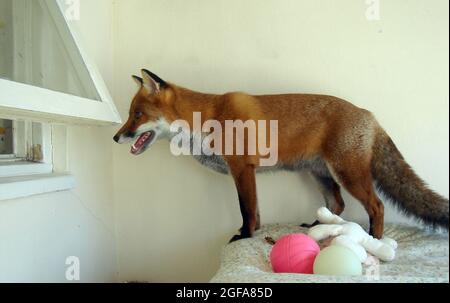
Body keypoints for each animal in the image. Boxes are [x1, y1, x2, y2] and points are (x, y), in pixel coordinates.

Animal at [113, 68, 450, 242]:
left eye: (137, 114)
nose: (116, 137)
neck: (206, 118)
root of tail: (370, 115)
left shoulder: (242, 168)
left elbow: (247, 209)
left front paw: (245, 236)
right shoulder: (244, 172)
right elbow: (255, 210)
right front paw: (253, 234)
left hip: (348, 173)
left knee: (377, 206)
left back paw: (374, 239)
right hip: (322, 174)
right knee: (337, 204)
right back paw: (317, 227)